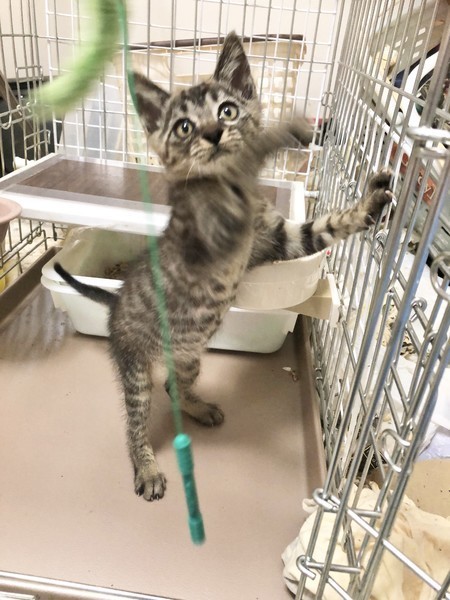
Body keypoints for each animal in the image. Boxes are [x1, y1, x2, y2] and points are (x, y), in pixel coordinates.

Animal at [54, 32, 393, 501]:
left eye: (227, 110)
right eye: (184, 127)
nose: (214, 134)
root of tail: (116, 302)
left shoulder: (285, 239)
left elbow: (326, 226)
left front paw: (372, 202)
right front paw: (288, 129)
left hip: (189, 356)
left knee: (173, 384)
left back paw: (198, 408)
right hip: (134, 368)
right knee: (135, 423)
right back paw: (147, 468)